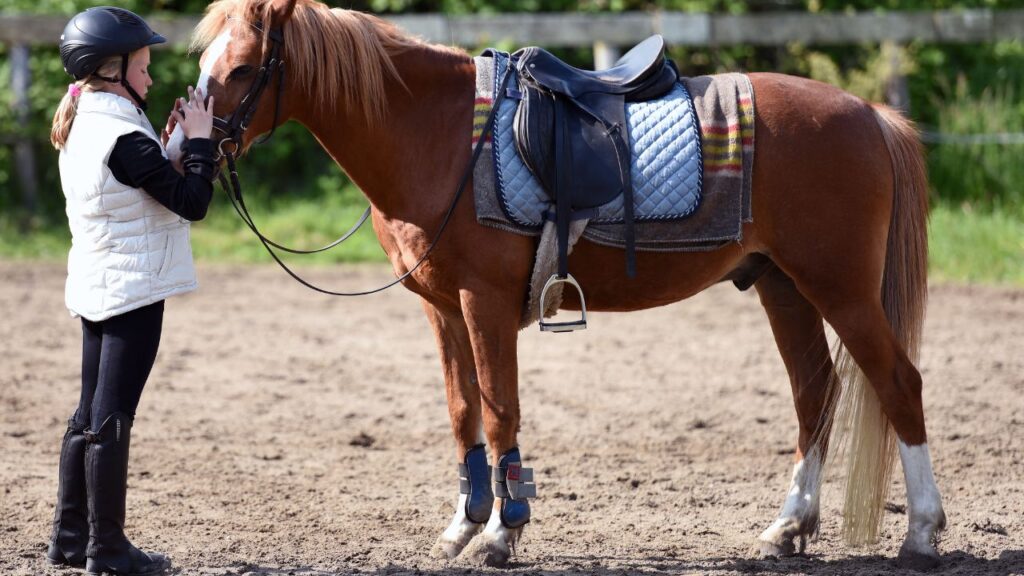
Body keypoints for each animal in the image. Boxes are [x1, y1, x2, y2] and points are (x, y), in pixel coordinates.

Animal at [170, 0, 946, 568]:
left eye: (243, 68)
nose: (182, 150)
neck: (438, 135)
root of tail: (869, 114)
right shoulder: (442, 310)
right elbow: (462, 412)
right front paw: (463, 524)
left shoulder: (482, 303)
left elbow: (499, 411)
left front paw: (503, 531)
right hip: (783, 286)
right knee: (816, 393)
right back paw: (788, 527)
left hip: (841, 289)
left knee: (899, 383)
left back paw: (922, 532)